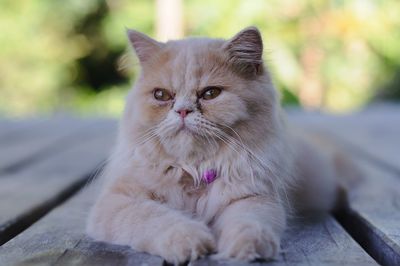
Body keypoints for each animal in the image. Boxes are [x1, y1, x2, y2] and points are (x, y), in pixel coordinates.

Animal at [86, 26, 340, 262]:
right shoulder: (119, 201)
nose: (183, 111)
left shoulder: (254, 198)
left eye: (210, 93)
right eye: (161, 95)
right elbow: (157, 219)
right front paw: (192, 241)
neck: (193, 170)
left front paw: (247, 249)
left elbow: (248, 223)